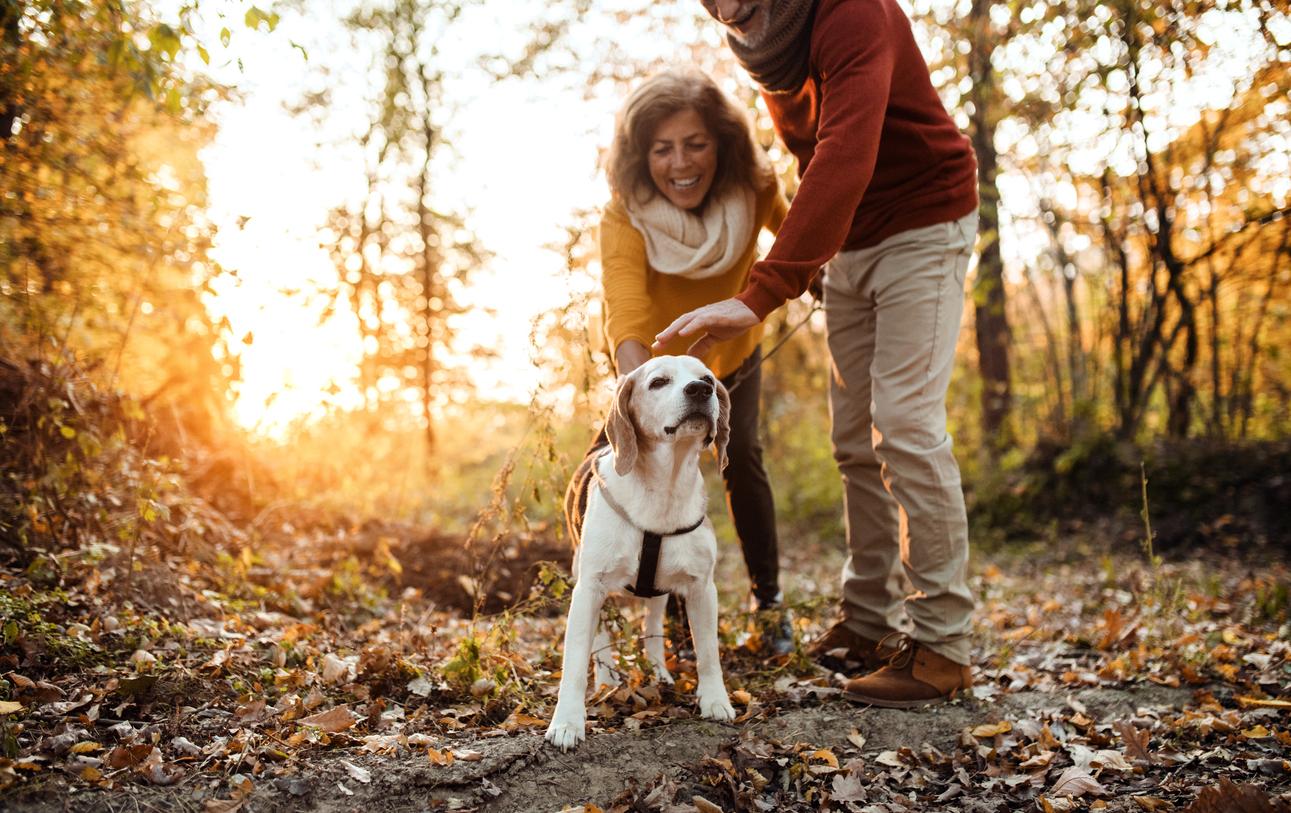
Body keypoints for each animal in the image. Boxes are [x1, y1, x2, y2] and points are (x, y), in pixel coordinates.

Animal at [544, 356, 738, 753]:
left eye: (708, 379)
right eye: (658, 382)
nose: (700, 390)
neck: (664, 487)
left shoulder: (702, 588)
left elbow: (708, 653)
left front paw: (715, 701)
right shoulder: (588, 589)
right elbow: (575, 663)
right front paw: (567, 722)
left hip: (660, 592)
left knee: (652, 624)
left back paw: (659, 671)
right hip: (589, 581)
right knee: (601, 639)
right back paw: (606, 679)